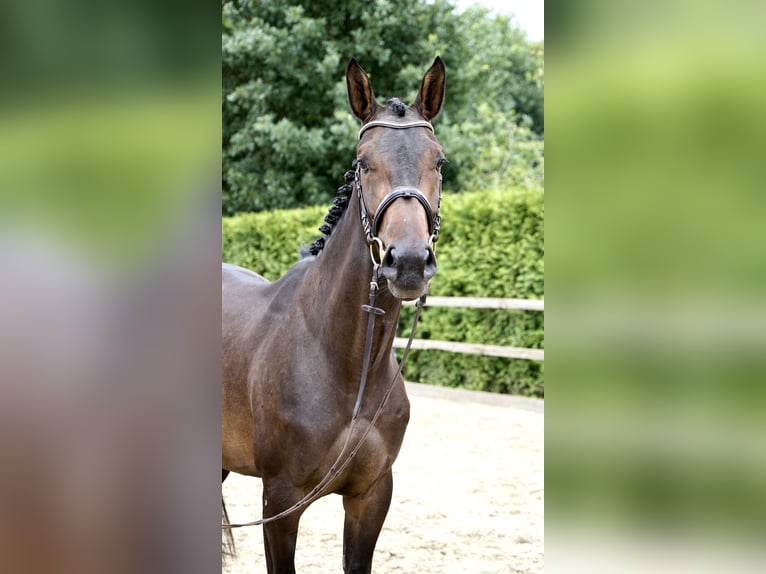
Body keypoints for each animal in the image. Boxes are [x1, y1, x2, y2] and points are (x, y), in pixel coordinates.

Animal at [222, 56, 446, 574]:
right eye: (363, 163)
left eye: (439, 161)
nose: (407, 262)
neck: (343, 361)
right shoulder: (280, 503)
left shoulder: (371, 494)